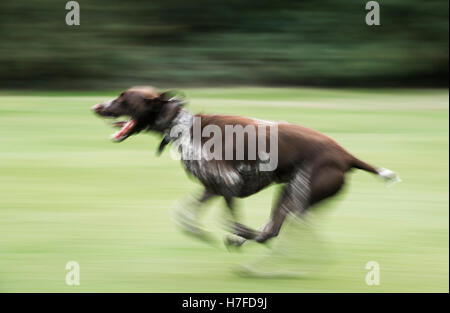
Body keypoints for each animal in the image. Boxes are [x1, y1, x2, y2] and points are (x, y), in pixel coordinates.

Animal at [92, 86, 400, 246]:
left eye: (123, 98)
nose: (96, 106)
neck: (182, 126)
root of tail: (345, 155)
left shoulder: (229, 183)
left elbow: (229, 220)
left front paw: (235, 232)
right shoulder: (212, 188)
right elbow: (185, 215)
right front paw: (200, 232)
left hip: (298, 193)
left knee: (270, 231)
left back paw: (245, 239)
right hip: (289, 193)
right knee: (271, 230)